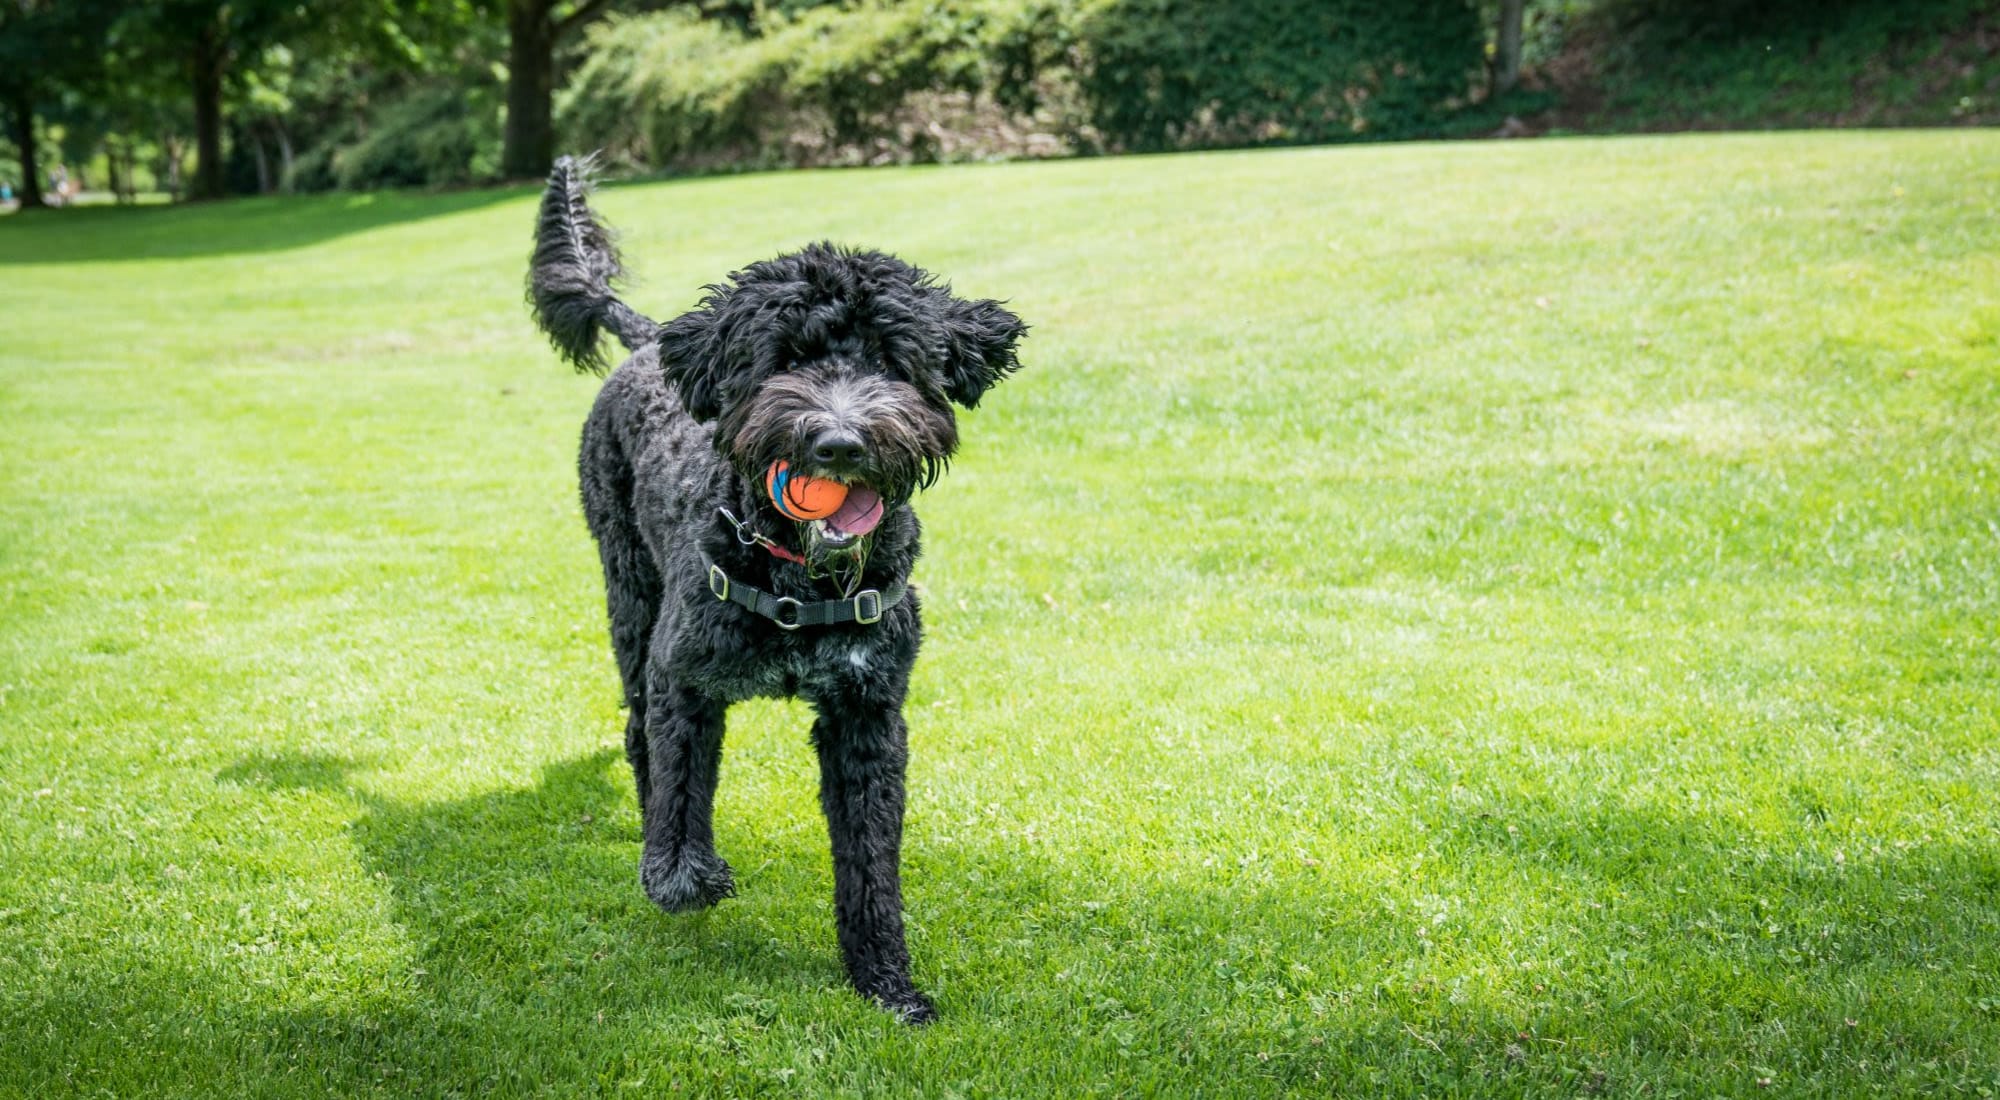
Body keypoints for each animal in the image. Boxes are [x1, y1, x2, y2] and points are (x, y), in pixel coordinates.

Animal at [524, 157, 1024, 1024]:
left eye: (891, 361)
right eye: (786, 359)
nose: (840, 442)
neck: (796, 573)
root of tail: (651, 343)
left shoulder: (868, 716)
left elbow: (871, 863)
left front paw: (885, 981)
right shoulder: (684, 679)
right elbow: (681, 789)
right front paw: (684, 874)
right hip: (629, 597)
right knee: (639, 734)